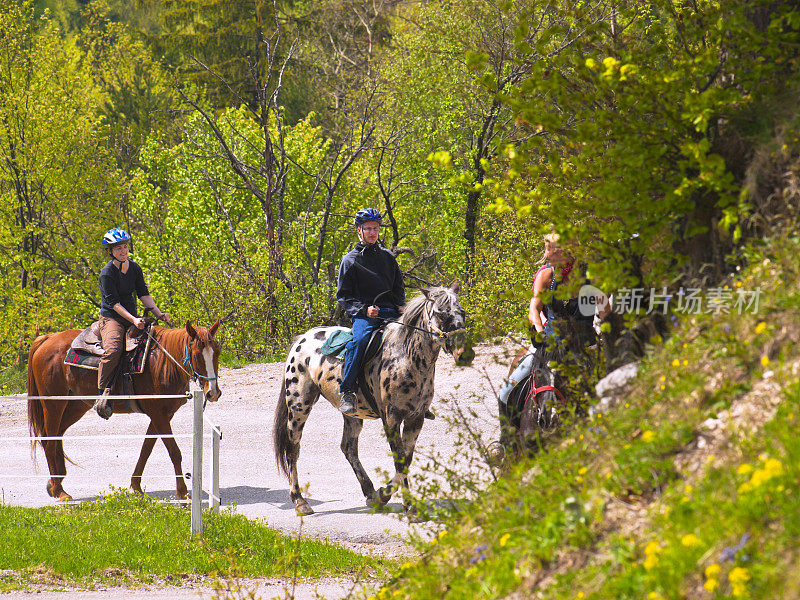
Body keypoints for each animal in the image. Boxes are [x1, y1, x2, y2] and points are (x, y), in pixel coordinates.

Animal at [27, 318, 222, 502]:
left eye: (217, 352)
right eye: (196, 355)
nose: (213, 393)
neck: (163, 362)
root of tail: (47, 338)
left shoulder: (162, 415)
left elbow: (146, 449)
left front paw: (135, 486)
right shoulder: (159, 414)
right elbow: (174, 451)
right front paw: (182, 492)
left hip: (77, 405)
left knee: (56, 436)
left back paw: (55, 482)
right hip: (53, 404)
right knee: (49, 441)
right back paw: (59, 491)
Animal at [276, 284, 476, 516]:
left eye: (462, 312)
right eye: (441, 314)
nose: (465, 354)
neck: (405, 357)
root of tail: (301, 339)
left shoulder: (416, 418)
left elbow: (406, 460)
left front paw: (390, 499)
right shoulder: (391, 419)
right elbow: (400, 460)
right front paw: (395, 500)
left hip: (352, 415)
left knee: (348, 448)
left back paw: (369, 489)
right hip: (299, 405)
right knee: (293, 449)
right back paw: (300, 500)